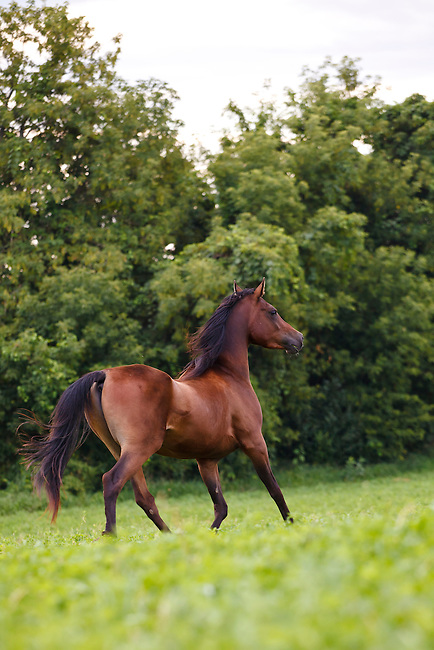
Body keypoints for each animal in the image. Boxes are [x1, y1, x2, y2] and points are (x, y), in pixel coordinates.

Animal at [20, 278, 304, 532]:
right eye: (272, 311)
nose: (299, 338)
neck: (228, 376)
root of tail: (105, 375)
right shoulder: (254, 442)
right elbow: (274, 489)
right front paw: (292, 525)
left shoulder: (207, 460)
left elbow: (220, 506)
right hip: (139, 448)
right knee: (112, 482)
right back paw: (111, 535)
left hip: (120, 449)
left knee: (143, 497)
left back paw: (168, 536)